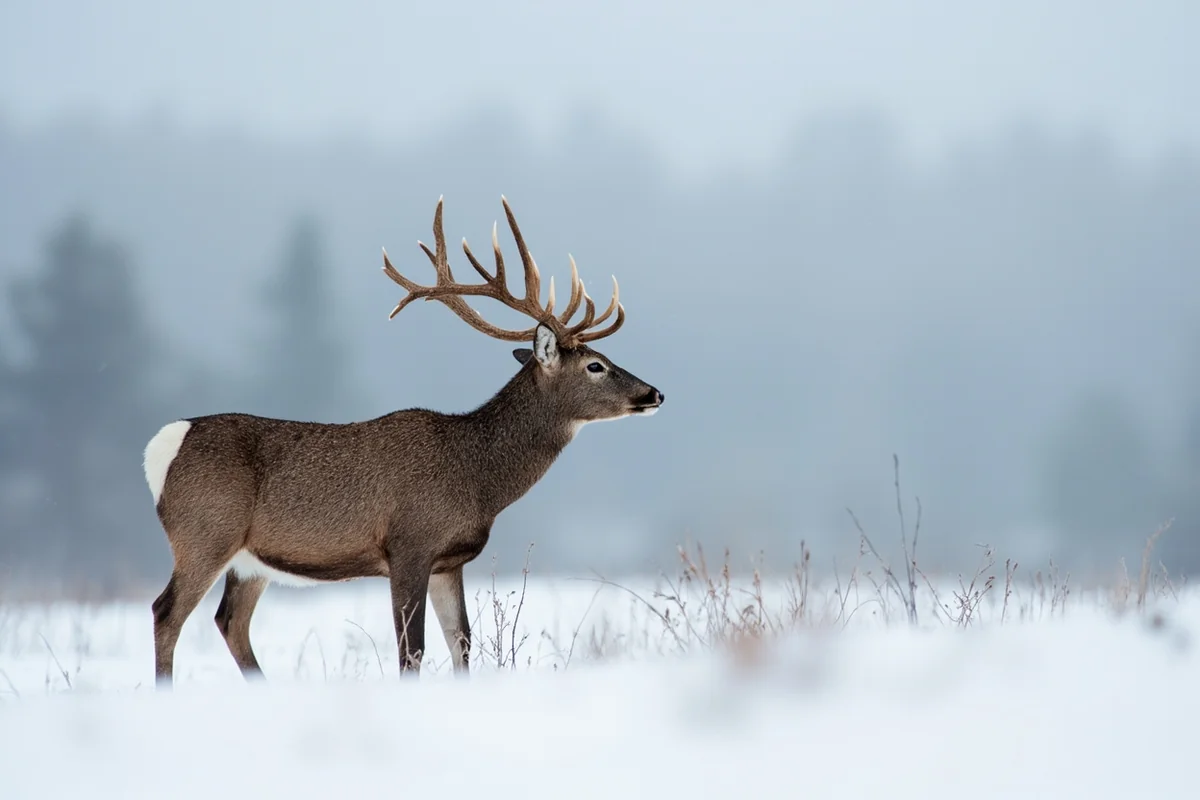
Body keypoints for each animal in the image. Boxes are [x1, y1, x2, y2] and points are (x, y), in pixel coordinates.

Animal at [142, 195, 663, 686]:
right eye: (596, 366)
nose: (654, 393)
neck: (478, 478)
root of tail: (162, 447)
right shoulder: (409, 543)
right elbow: (411, 649)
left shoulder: (448, 561)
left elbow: (461, 642)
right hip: (205, 532)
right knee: (166, 612)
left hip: (249, 560)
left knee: (230, 621)